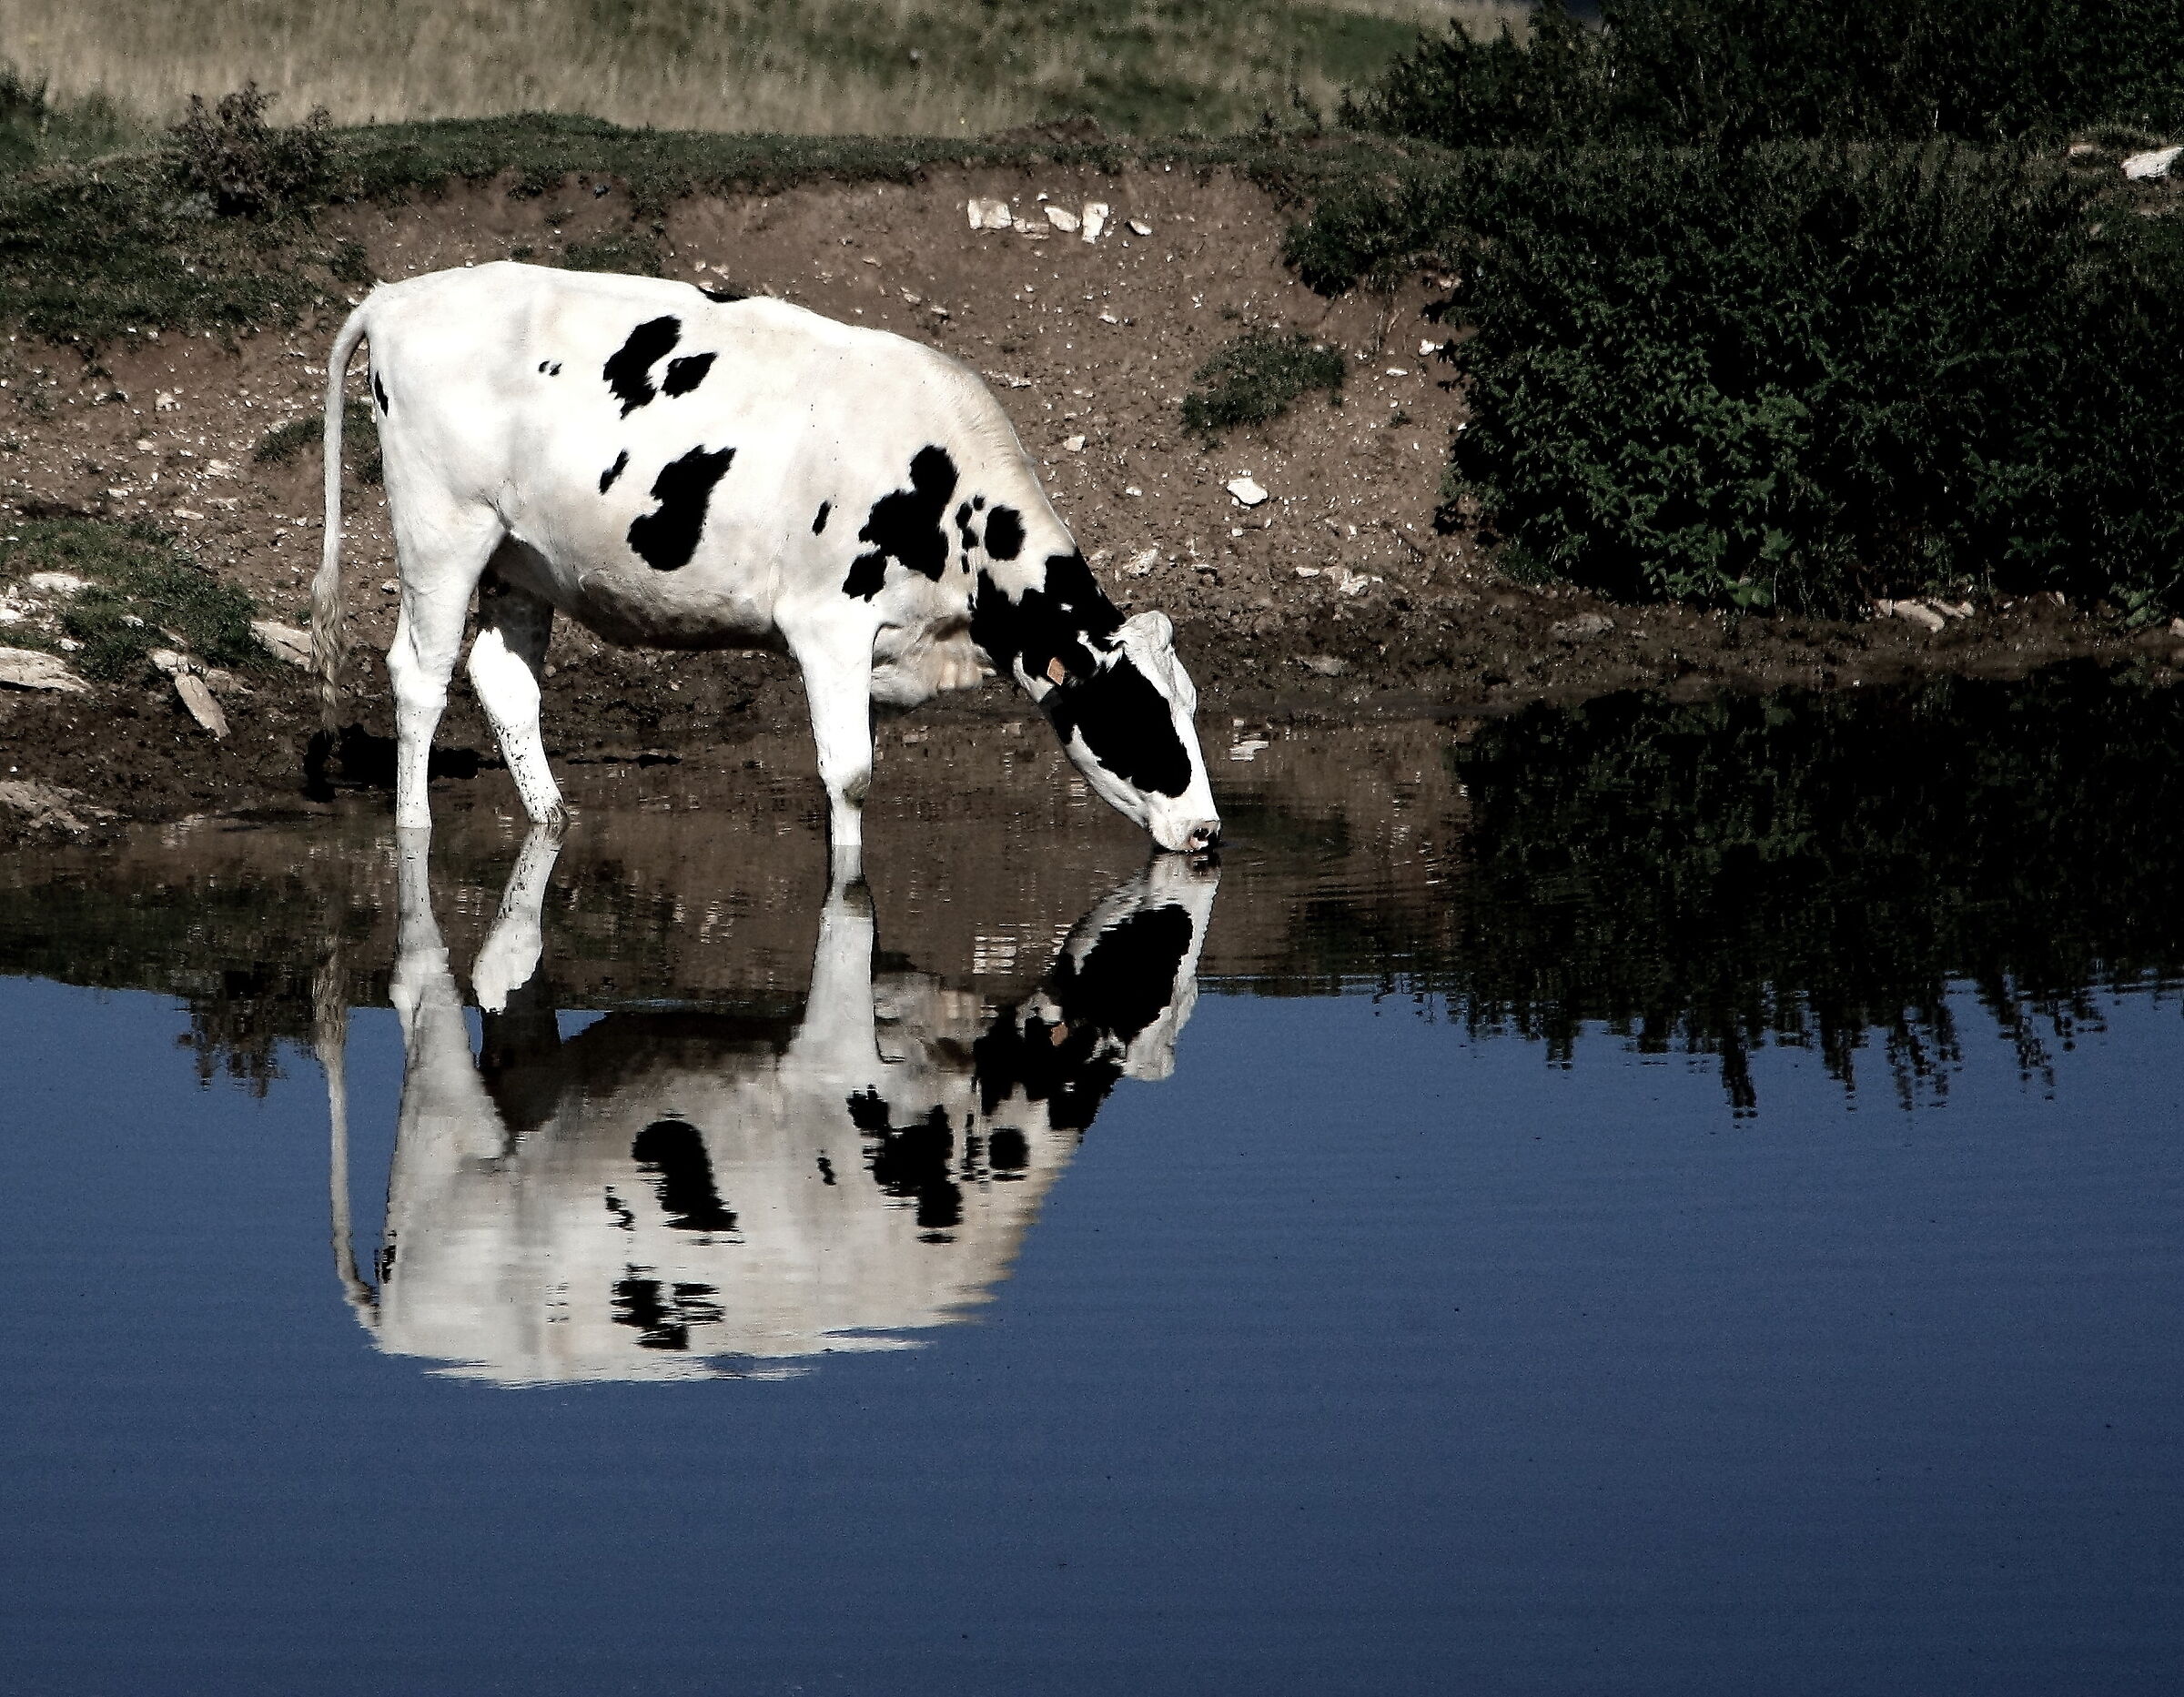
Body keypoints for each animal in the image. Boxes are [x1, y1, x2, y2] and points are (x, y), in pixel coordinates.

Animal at [312, 262, 1222, 859]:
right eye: (1139, 718)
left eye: (1191, 708)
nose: (1208, 829)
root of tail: (398, 297)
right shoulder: (827, 624)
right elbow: (850, 776)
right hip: (442, 528)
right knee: (419, 677)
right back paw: (415, 827)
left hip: (521, 554)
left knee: (502, 680)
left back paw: (554, 820)